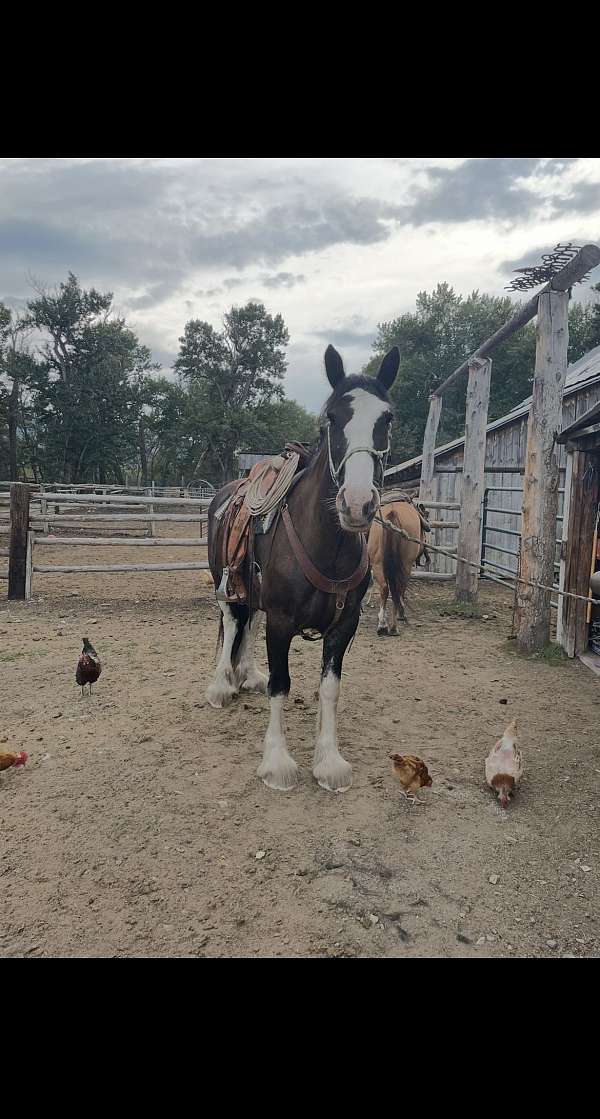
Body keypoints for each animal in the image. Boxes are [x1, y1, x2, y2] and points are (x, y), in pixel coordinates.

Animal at [206, 344, 400, 793]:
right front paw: (277, 762)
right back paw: (223, 684)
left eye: (386, 418)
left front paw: (329, 762)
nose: (357, 504)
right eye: (332, 418)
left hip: (252, 592)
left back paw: (247, 675)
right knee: (231, 621)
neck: (325, 546)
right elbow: (282, 684)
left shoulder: (344, 625)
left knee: (248, 622)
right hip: (224, 585)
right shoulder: (281, 621)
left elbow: (329, 689)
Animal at [367, 499, 427, 635]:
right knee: (398, 588)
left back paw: (383, 625)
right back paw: (394, 625)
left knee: (385, 588)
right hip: (405, 565)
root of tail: (393, 512)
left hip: (377, 564)